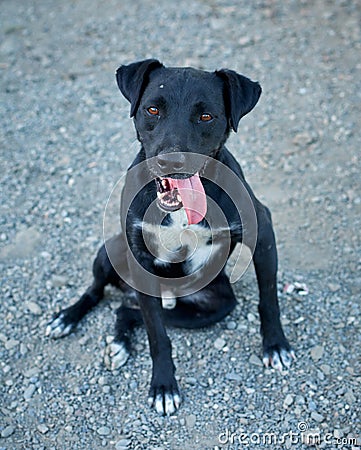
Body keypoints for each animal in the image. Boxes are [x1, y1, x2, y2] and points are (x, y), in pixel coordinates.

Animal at [46, 59, 294, 414]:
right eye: (152, 109)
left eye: (206, 116)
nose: (171, 161)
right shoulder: (139, 260)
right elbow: (157, 336)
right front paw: (163, 385)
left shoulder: (264, 235)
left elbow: (269, 299)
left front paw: (275, 345)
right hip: (112, 250)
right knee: (98, 292)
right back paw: (68, 318)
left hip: (211, 307)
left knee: (127, 310)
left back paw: (119, 342)